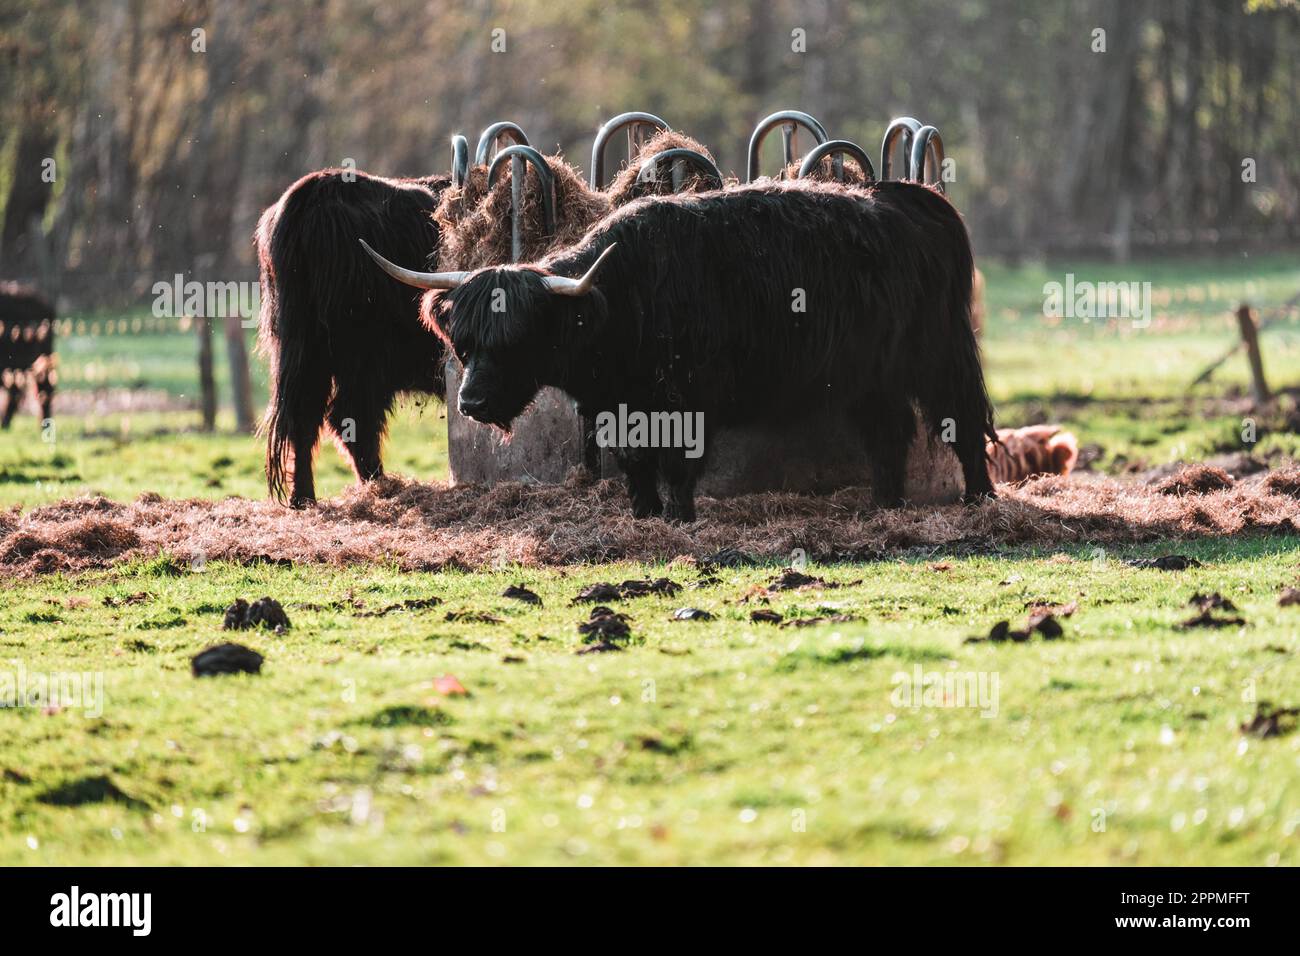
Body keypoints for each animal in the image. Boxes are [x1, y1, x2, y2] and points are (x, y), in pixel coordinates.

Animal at [254, 170, 452, 509]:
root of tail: (314, 190)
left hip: (304, 352)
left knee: (306, 417)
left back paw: (303, 498)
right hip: (363, 357)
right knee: (351, 416)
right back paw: (381, 485)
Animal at [366, 179, 993, 522]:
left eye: (515, 340)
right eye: (463, 343)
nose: (470, 403)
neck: (620, 302)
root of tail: (911, 200)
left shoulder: (689, 400)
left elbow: (678, 465)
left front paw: (679, 518)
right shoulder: (618, 405)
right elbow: (634, 461)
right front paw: (643, 515)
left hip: (939, 353)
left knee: (960, 420)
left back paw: (978, 500)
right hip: (871, 375)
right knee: (890, 432)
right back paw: (884, 504)